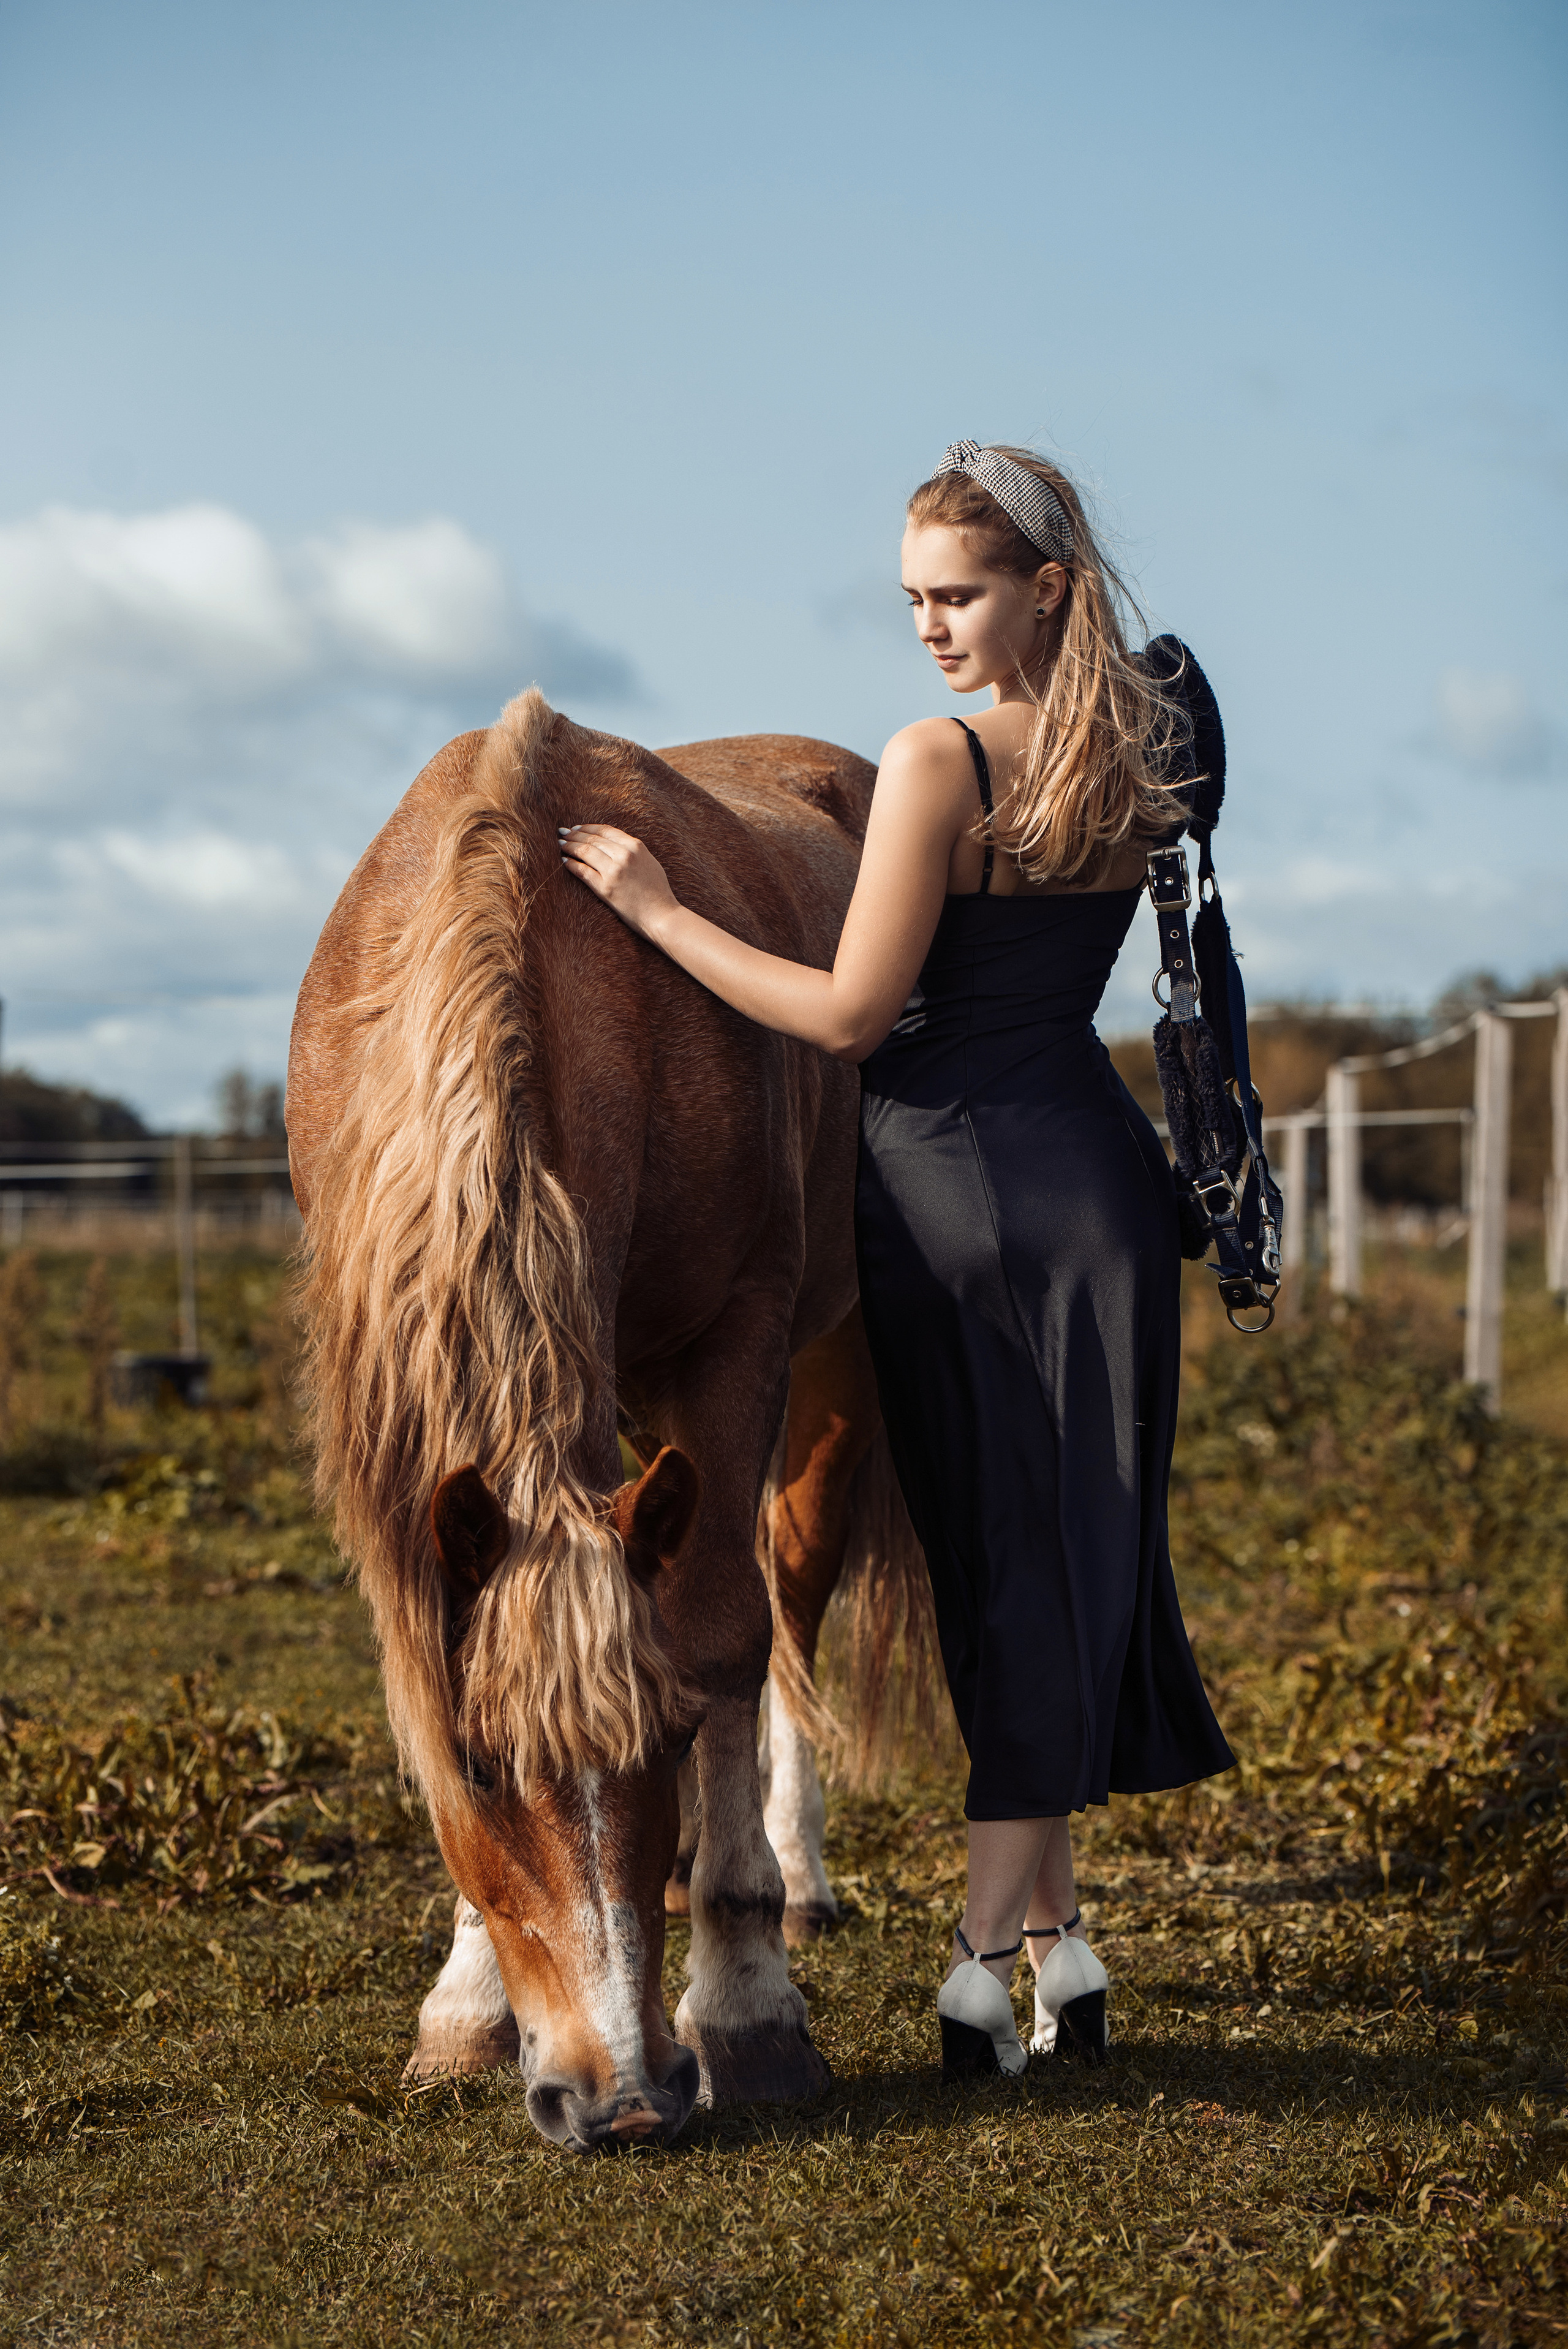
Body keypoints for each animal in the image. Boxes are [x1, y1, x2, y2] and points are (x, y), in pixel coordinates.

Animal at [287, 689, 928, 2153]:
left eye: (668, 1734)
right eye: (478, 1765)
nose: (624, 2097)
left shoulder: (736, 1343)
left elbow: (730, 1635)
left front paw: (749, 2009)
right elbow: (441, 1653)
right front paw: (466, 2003)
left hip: (832, 1366)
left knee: (790, 1596)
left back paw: (789, 1873)